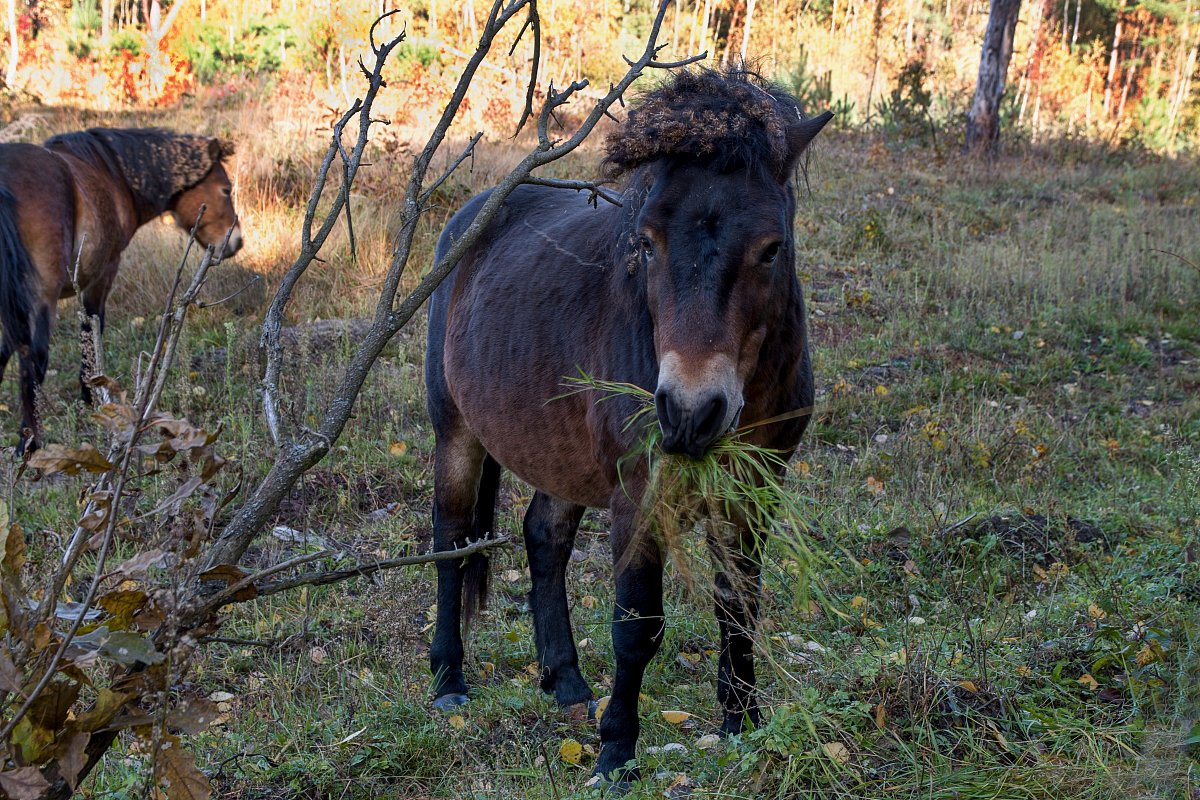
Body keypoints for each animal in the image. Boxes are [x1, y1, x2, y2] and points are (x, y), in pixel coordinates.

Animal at [0, 125, 241, 450]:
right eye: (226, 189)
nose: (236, 241)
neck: (110, 172)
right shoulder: (102, 275)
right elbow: (91, 329)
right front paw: (91, 393)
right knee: (34, 358)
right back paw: (31, 442)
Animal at [427, 68, 830, 782]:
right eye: (646, 242)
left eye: (771, 248)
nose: (691, 412)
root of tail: (471, 216)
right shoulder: (639, 495)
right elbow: (636, 625)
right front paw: (617, 750)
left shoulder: (754, 489)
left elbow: (739, 606)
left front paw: (743, 722)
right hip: (456, 433)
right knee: (452, 537)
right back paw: (449, 680)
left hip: (556, 455)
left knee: (544, 539)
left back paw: (565, 683)